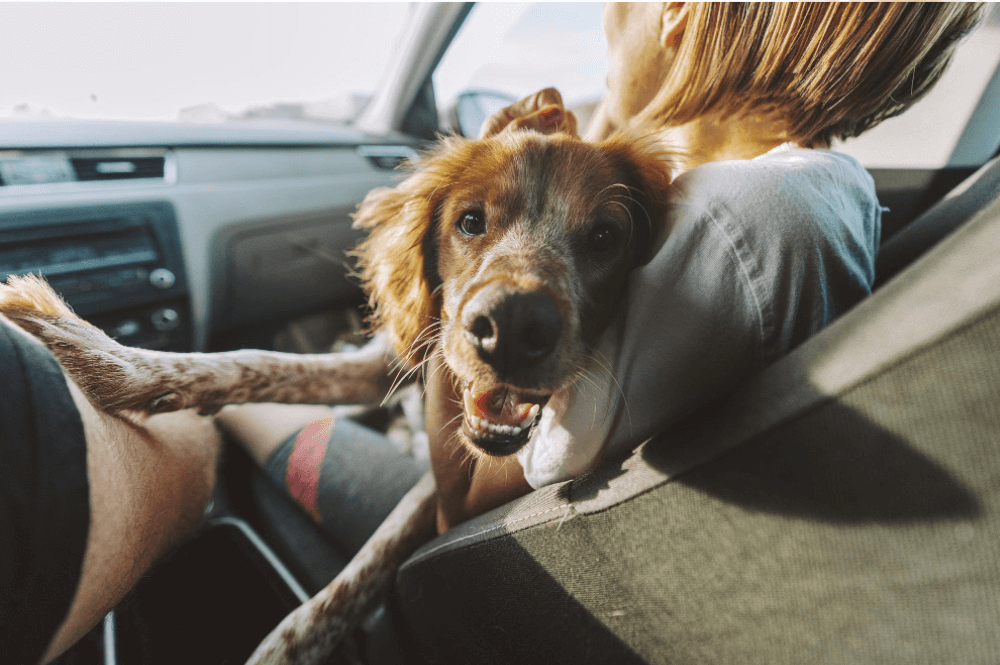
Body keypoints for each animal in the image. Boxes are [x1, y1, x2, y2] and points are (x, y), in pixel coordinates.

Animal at [1, 130, 672, 664]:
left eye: (605, 235)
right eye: (470, 221)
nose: (511, 324)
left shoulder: (439, 478)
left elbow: (364, 569)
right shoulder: (384, 364)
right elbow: (253, 363)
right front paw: (101, 358)